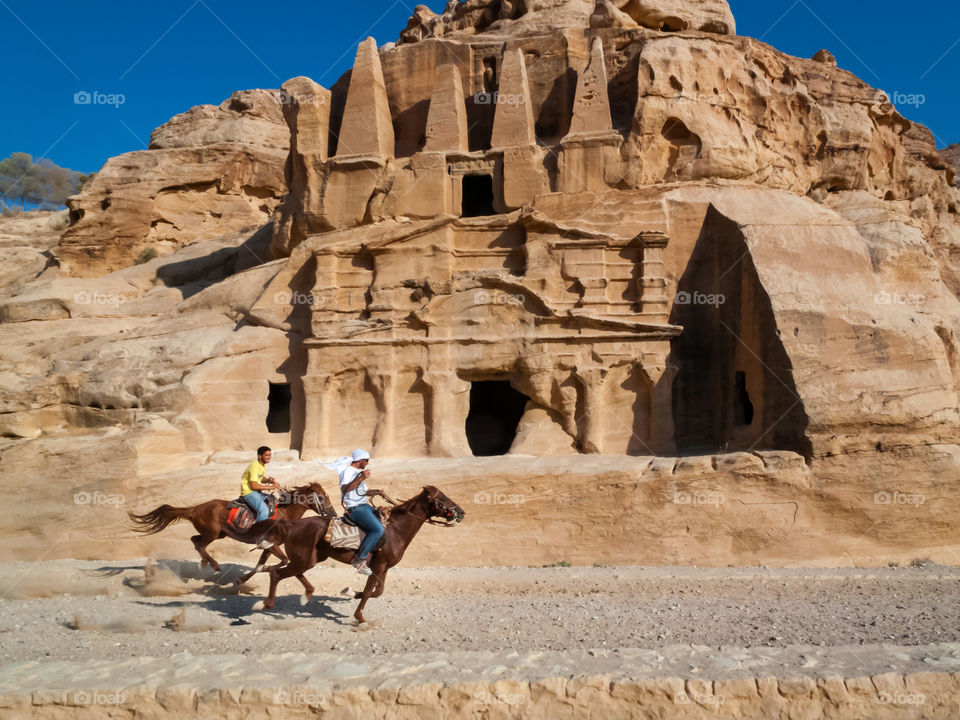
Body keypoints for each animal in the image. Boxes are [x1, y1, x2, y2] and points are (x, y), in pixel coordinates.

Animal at [127, 484, 338, 572]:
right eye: (321, 497)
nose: (333, 513)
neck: (284, 514)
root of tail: (196, 508)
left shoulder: (270, 547)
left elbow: (271, 561)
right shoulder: (270, 543)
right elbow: (284, 560)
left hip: (218, 534)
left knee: (196, 541)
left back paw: (206, 563)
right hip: (211, 533)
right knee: (197, 542)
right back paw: (213, 564)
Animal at [258, 486, 462, 620]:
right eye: (443, 498)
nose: (461, 512)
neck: (396, 530)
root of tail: (293, 524)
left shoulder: (383, 569)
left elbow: (377, 591)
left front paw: (351, 593)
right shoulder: (378, 567)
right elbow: (369, 591)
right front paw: (359, 616)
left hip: (309, 559)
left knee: (289, 572)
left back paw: (305, 595)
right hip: (304, 560)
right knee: (276, 573)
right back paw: (266, 603)